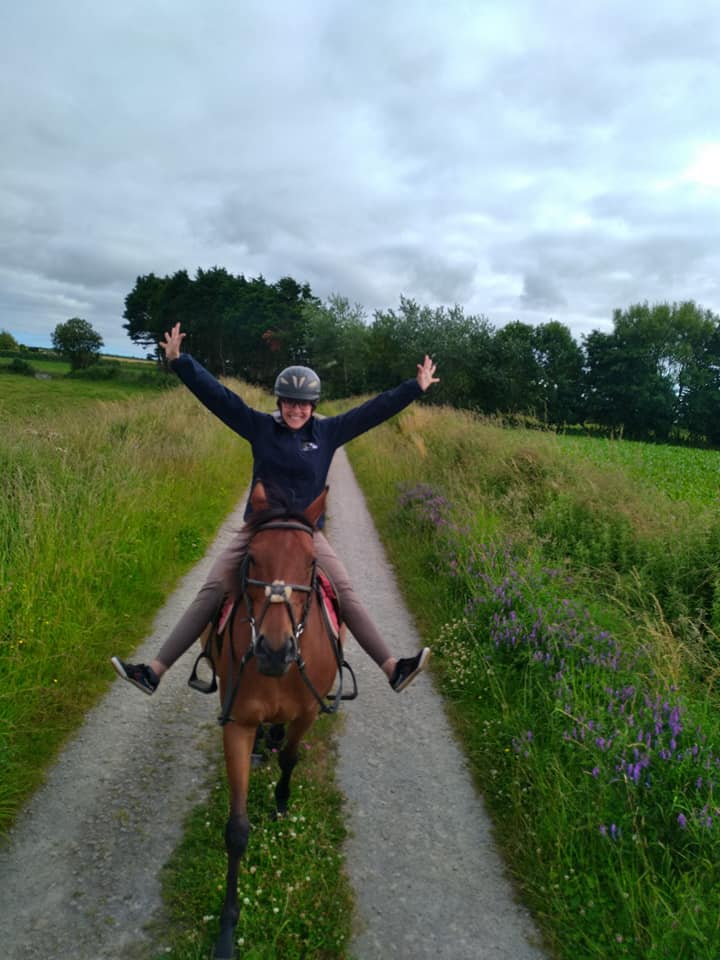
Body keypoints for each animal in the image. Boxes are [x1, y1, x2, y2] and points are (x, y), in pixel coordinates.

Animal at [205, 484, 348, 956]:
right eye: (252, 558)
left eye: (310, 561)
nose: (272, 650)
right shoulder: (236, 723)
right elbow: (236, 830)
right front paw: (227, 930)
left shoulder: (307, 713)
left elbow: (290, 758)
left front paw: (282, 802)